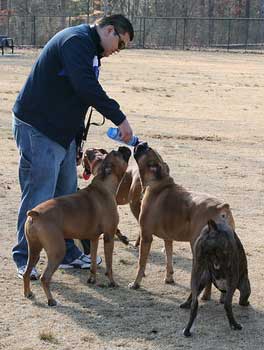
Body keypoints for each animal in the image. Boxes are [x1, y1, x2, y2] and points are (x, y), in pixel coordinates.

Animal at [23, 146, 130, 304]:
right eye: (118, 154)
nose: (124, 147)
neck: (104, 184)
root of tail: (35, 214)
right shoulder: (109, 237)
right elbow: (109, 265)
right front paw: (112, 282)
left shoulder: (94, 239)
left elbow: (93, 263)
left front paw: (92, 279)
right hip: (57, 251)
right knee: (45, 277)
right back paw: (51, 300)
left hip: (34, 250)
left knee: (27, 272)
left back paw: (28, 293)